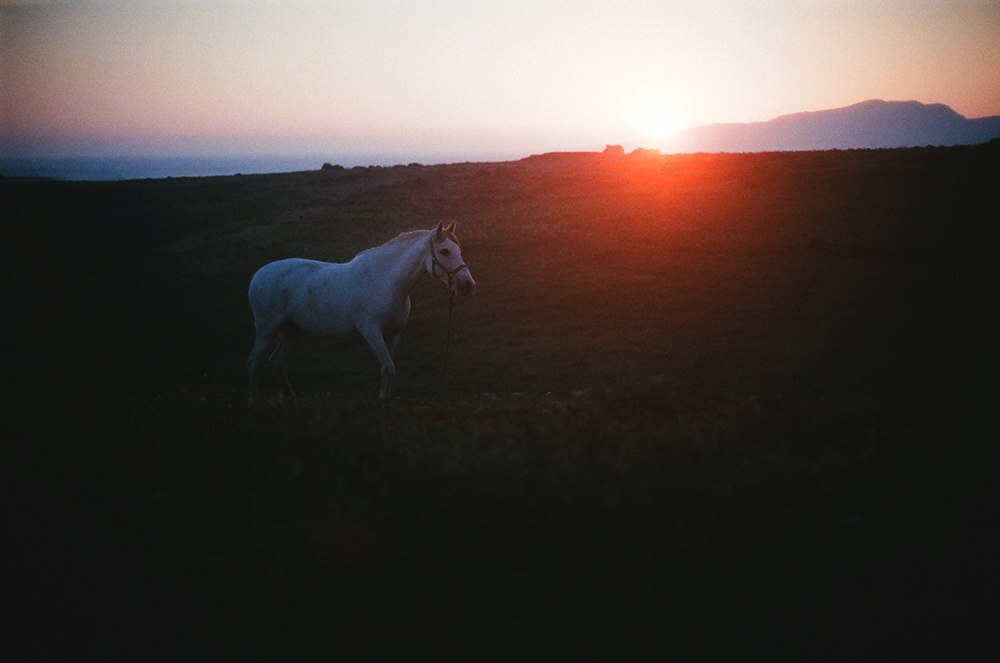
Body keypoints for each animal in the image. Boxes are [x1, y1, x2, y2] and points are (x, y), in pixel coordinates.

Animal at [245, 224, 472, 404]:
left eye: (459, 250)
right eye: (444, 251)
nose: (467, 285)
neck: (386, 280)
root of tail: (258, 274)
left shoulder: (393, 335)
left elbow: (387, 368)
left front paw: (384, 397)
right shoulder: (371, 331)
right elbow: (388, 366)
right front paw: (383, 401)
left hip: (294, 333)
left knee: (277, 361)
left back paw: (291, 398)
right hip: (266, 329)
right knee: (254, 361)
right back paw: (253, 401)